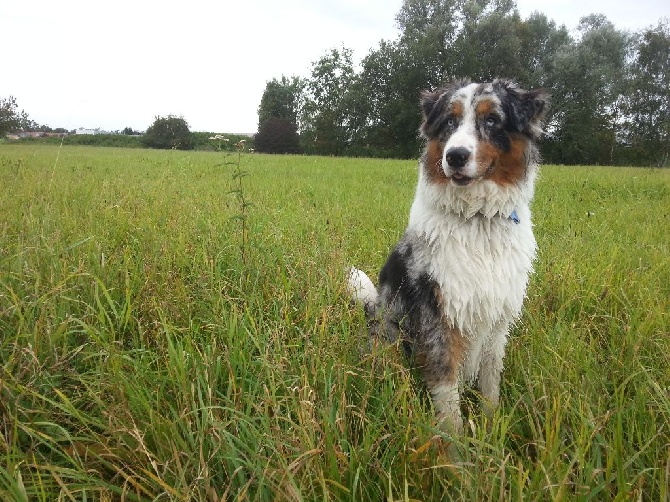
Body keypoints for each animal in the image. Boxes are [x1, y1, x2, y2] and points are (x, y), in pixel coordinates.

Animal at [350, 78, 548, 432]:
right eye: (449, 121)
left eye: (492, 120)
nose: (455, 156)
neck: (478, 220)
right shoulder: (439, 316)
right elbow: (447, 393)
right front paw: (455, 443)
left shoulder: (497, 320)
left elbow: (490, 381)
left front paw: (491, 425)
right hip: (388, 332)